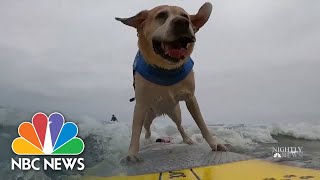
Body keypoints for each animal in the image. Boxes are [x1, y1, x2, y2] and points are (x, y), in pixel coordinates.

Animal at [116, 1, 226, 162]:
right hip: (148, 114)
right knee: (146, 127)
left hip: (175, 112)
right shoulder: (140, 104)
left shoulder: (191, 98)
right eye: (161, 15)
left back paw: (187, 139)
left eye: (185, 16)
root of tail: (161, 112)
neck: (165, 70)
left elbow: (201, 123)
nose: (182, 22)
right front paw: (132, 153)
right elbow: (135, 130)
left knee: (179, 126)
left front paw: (214, 143)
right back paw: (148, 137)